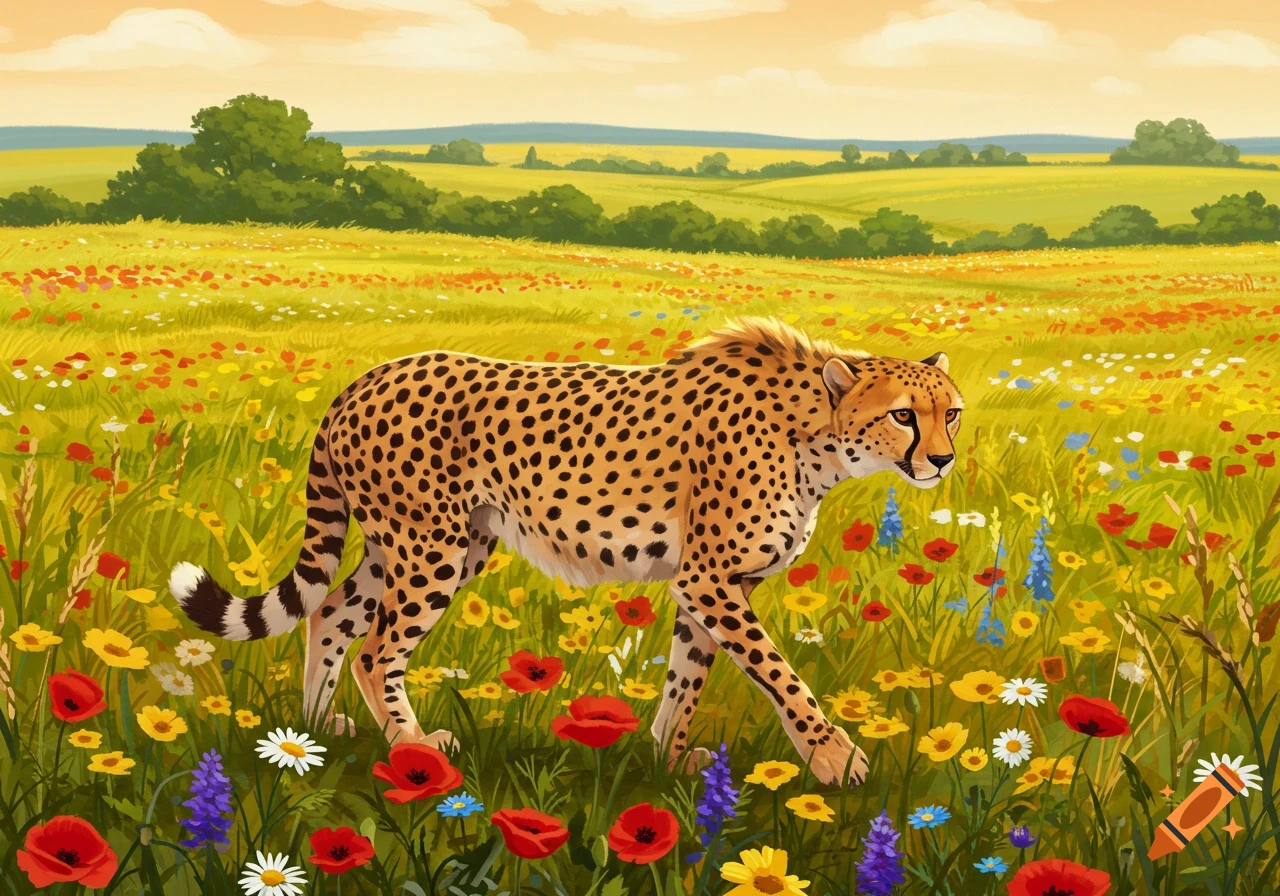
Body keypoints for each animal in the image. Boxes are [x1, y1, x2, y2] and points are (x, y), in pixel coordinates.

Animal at [170, 318, 963, 787]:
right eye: (903, 414)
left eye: (950, 412)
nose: (944, 460)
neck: (815, 432)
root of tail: (364, 378)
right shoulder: (711, 580)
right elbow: (779, 674)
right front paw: (835, 757)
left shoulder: (707, 585)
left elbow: (686, 678)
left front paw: (667, 760)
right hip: (430, 547)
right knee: (375, 647)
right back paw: (412, 748)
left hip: (432, 543)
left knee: (332, 612)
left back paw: (311, 732)